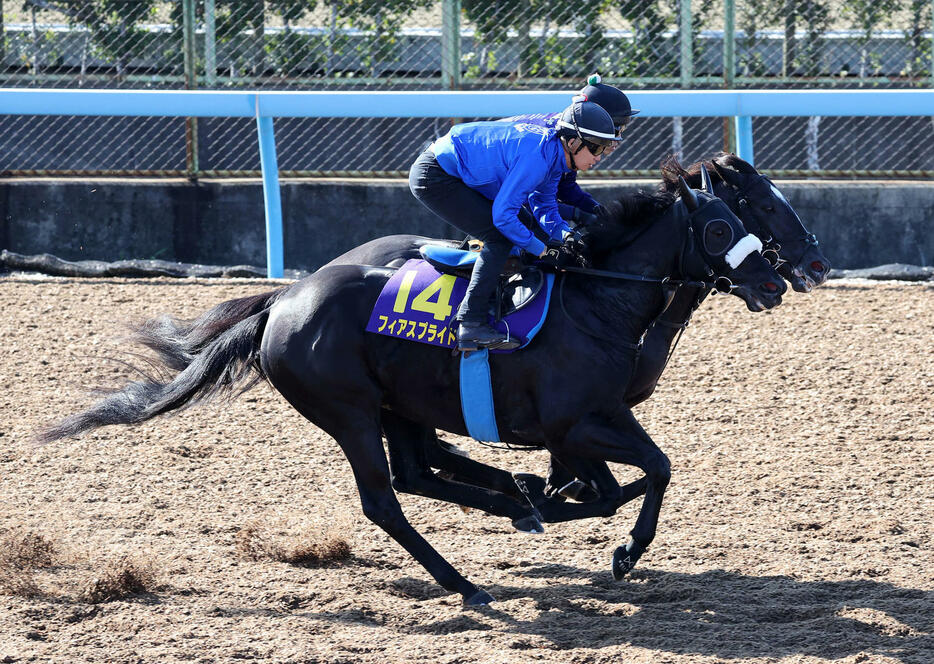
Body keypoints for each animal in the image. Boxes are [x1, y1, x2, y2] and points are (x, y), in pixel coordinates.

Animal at [40, 170, 788, 600]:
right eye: (719, 226)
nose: (775, 281)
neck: (594, 301)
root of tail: (283, 301)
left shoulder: (591, 422)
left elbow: (632, 476)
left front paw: (557, 508)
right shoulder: (575, 423)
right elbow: (643, 474)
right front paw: (619, 546)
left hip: (399, 404)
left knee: (418, 472)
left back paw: (514, 504)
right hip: (349, 411)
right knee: (385, 499)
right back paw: (467, 581)